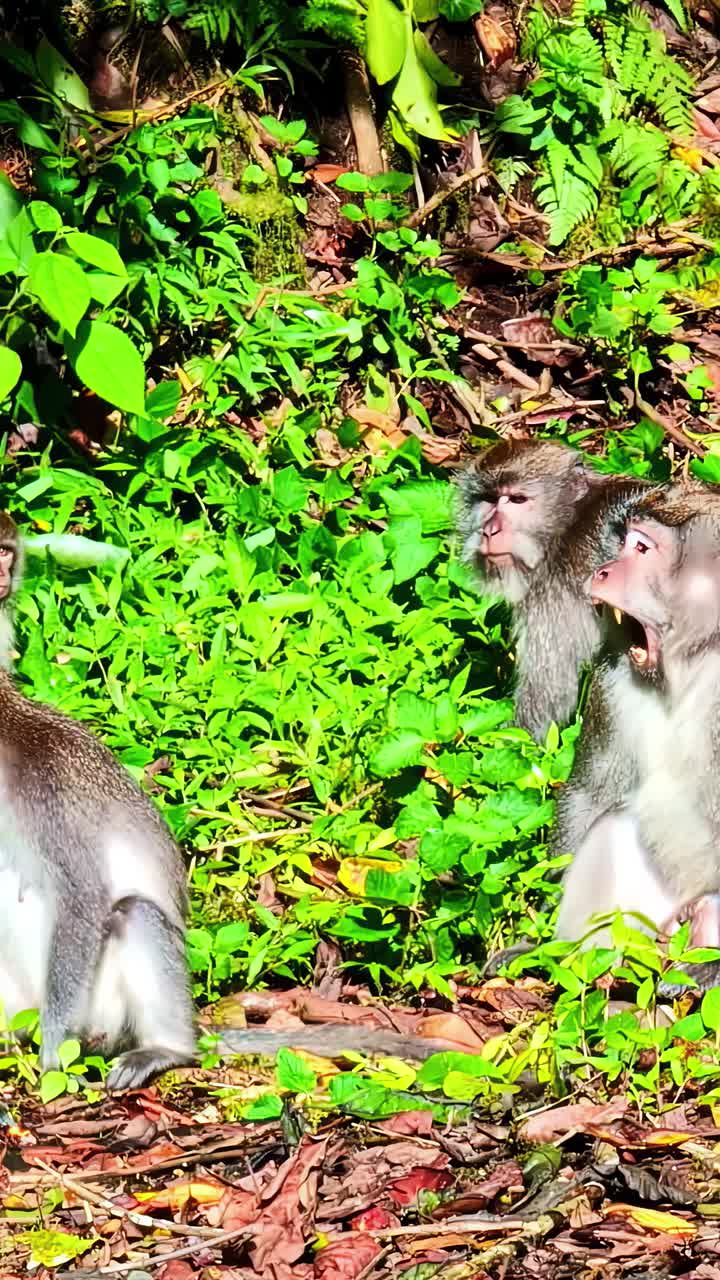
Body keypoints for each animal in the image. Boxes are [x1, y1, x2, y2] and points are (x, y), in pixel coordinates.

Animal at [457, 437, 653, 742]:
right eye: (488, 500)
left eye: (517, 500)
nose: (489, 531)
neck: (569, 523)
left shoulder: (556, 589)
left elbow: (548, 697)